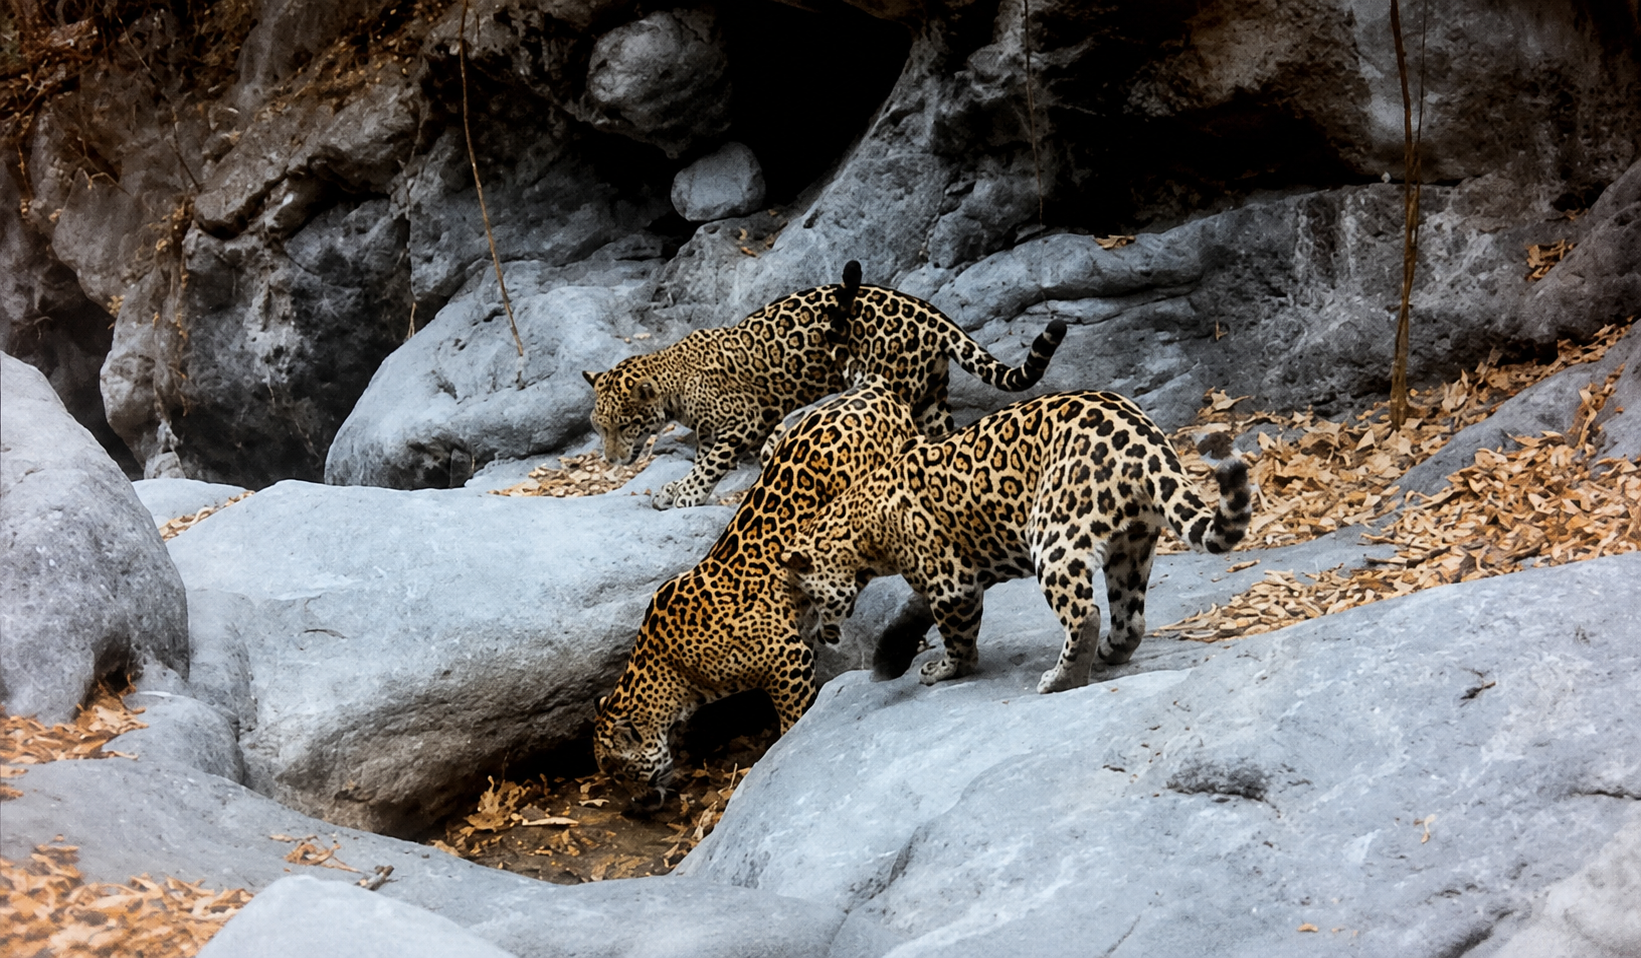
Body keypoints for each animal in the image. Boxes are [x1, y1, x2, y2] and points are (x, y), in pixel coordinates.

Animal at [583, 260, 1067, 510]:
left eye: (623, 425)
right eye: (598, 427)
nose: (610, 459)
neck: (672, 381)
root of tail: (930, 311)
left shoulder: (743, 420)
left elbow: (711, 463)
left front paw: (687, 494)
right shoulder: (722, 428)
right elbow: (706, 457)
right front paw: (676, 489)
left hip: (892, 384)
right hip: (929, 395)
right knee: (940, 439)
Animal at [592, 380, 934, 811]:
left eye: (622, 772)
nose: (634, 804)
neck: (670, 672)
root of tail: (874, 389)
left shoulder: (788, 658)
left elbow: (793, 715)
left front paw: (787, 744)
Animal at [781, 390, 1253, 696]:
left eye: (810, 599)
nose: (819, 635)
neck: (862, 533)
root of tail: (1148, 441)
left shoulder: (951, 581)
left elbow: (957, 635)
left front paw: (945, 670)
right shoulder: (957, 572)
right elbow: (914, 611)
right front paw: (890, 658)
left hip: (1053, 533)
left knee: (1085, 614)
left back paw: (1061, 679)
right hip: (1132, 545)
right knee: (1130, 616)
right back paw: (1112, 652)